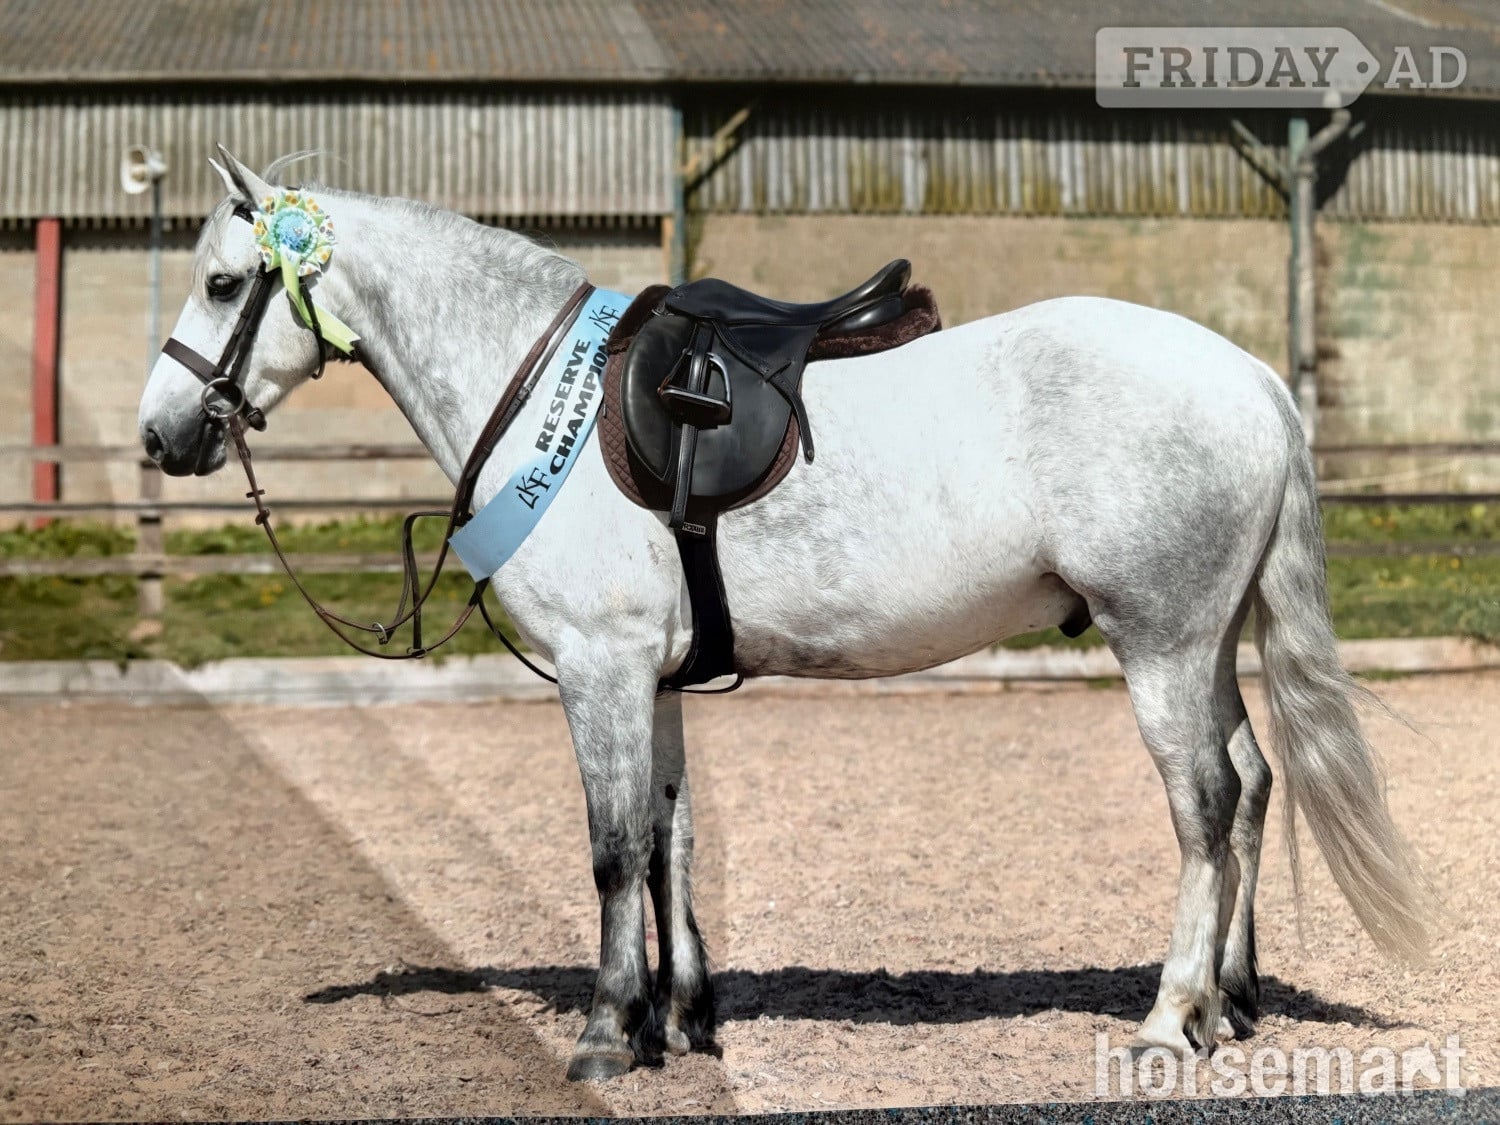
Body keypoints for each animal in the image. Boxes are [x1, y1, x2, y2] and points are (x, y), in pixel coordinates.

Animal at [138, 149, 1434, 1081]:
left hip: (1158, 640)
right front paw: (680, 1020)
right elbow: (669, 838)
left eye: (221, 282)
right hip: (1205, 640)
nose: (160, 435)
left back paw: (1169, 1022)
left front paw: (606, 1035)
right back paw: (1231, 1005)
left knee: (1205, 805)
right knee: (1253, 782)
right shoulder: (651, 677)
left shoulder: (601, 669)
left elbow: (611, 849)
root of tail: (1251, 376)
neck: (541, 389)